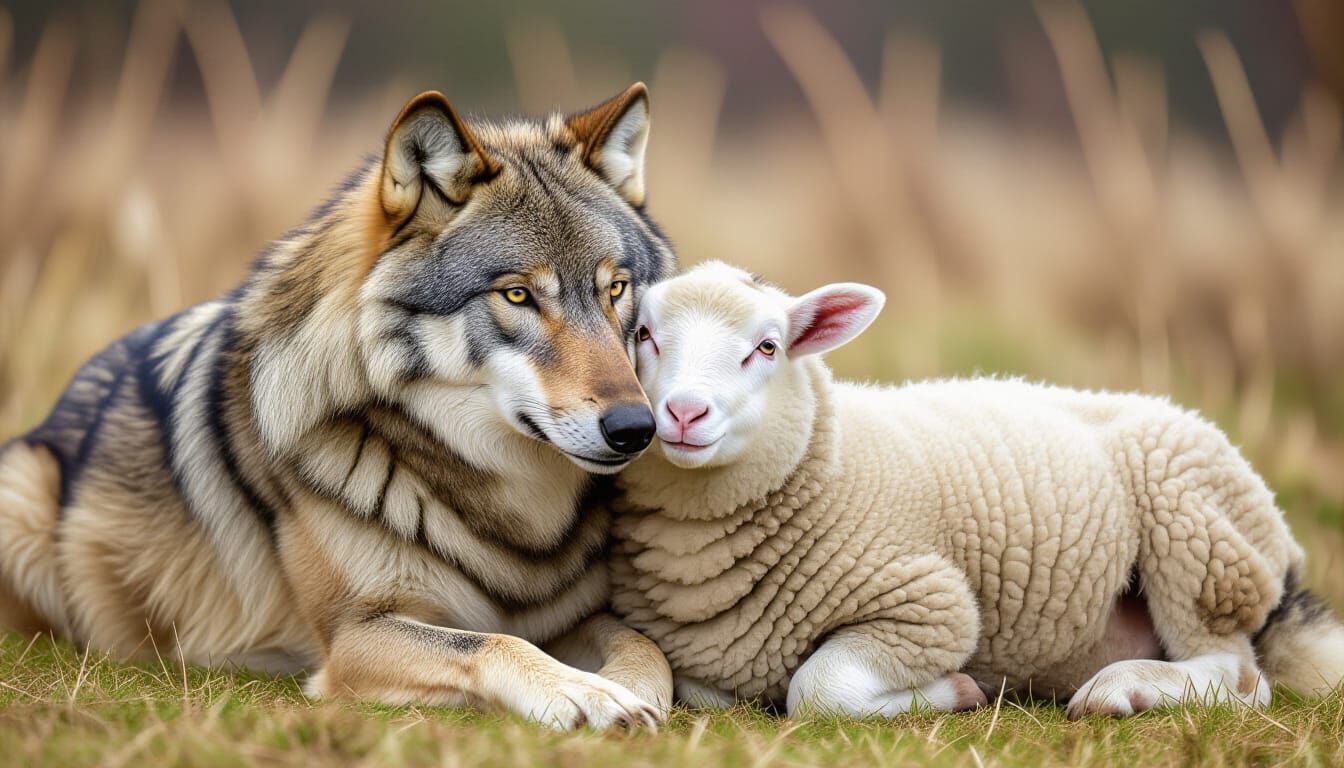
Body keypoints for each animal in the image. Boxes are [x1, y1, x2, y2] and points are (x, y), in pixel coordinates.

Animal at [0, 83, 677, 729]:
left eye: (616, 288)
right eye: (517, 295)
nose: (635, 428)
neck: (508, 508)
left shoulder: (567, 618)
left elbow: (646, 648)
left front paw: (627, 693)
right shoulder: (356, 634)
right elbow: (495, 644)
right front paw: (586, 694)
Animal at [610, 260, 1344, 719]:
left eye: (766, 347)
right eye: (643, 335)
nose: (683, 413)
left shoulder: (930, 607)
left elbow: (817, 689)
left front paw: (958, 692)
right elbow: (703, 691)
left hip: (1200, 540)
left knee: (1238, 675)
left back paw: (1122, 692)